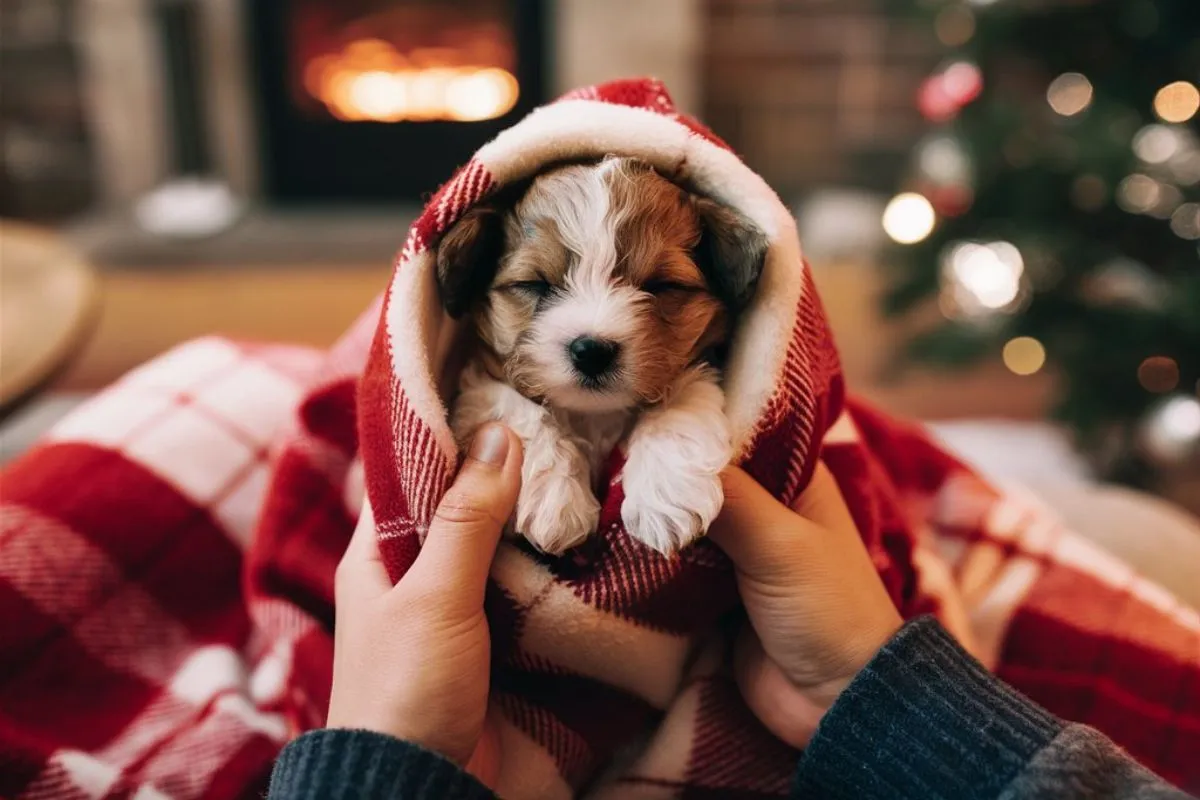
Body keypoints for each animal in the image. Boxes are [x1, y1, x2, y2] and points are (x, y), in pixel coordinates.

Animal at [436, 155, 763, 556]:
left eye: (662, 286)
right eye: (534, 284)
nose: (592, 351)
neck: (595, 415)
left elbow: (683, 395)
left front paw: (667, 494)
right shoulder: (481, 388)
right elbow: (516, 410)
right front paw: (556, 499)